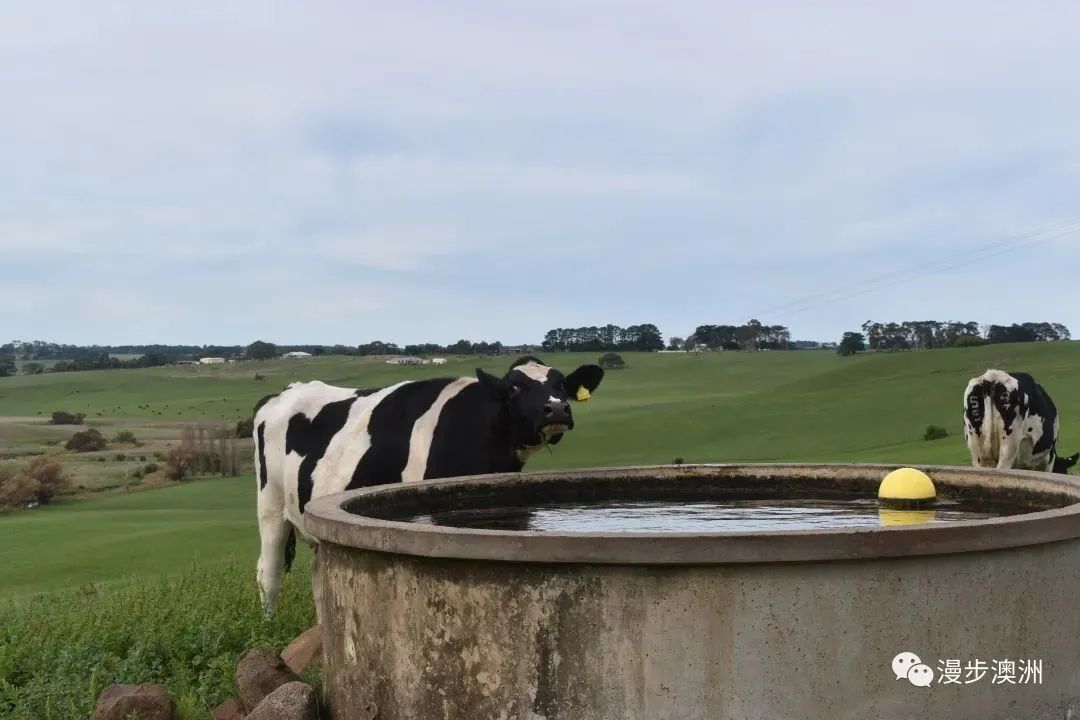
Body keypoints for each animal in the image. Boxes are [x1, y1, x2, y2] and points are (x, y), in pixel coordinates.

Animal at [255, 354, 604, 613]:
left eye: (562, 384)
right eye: (515, 387)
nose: (556, 409)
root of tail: (284, 392)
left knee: (319, 578)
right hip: (270, 507)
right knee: (268, 575)